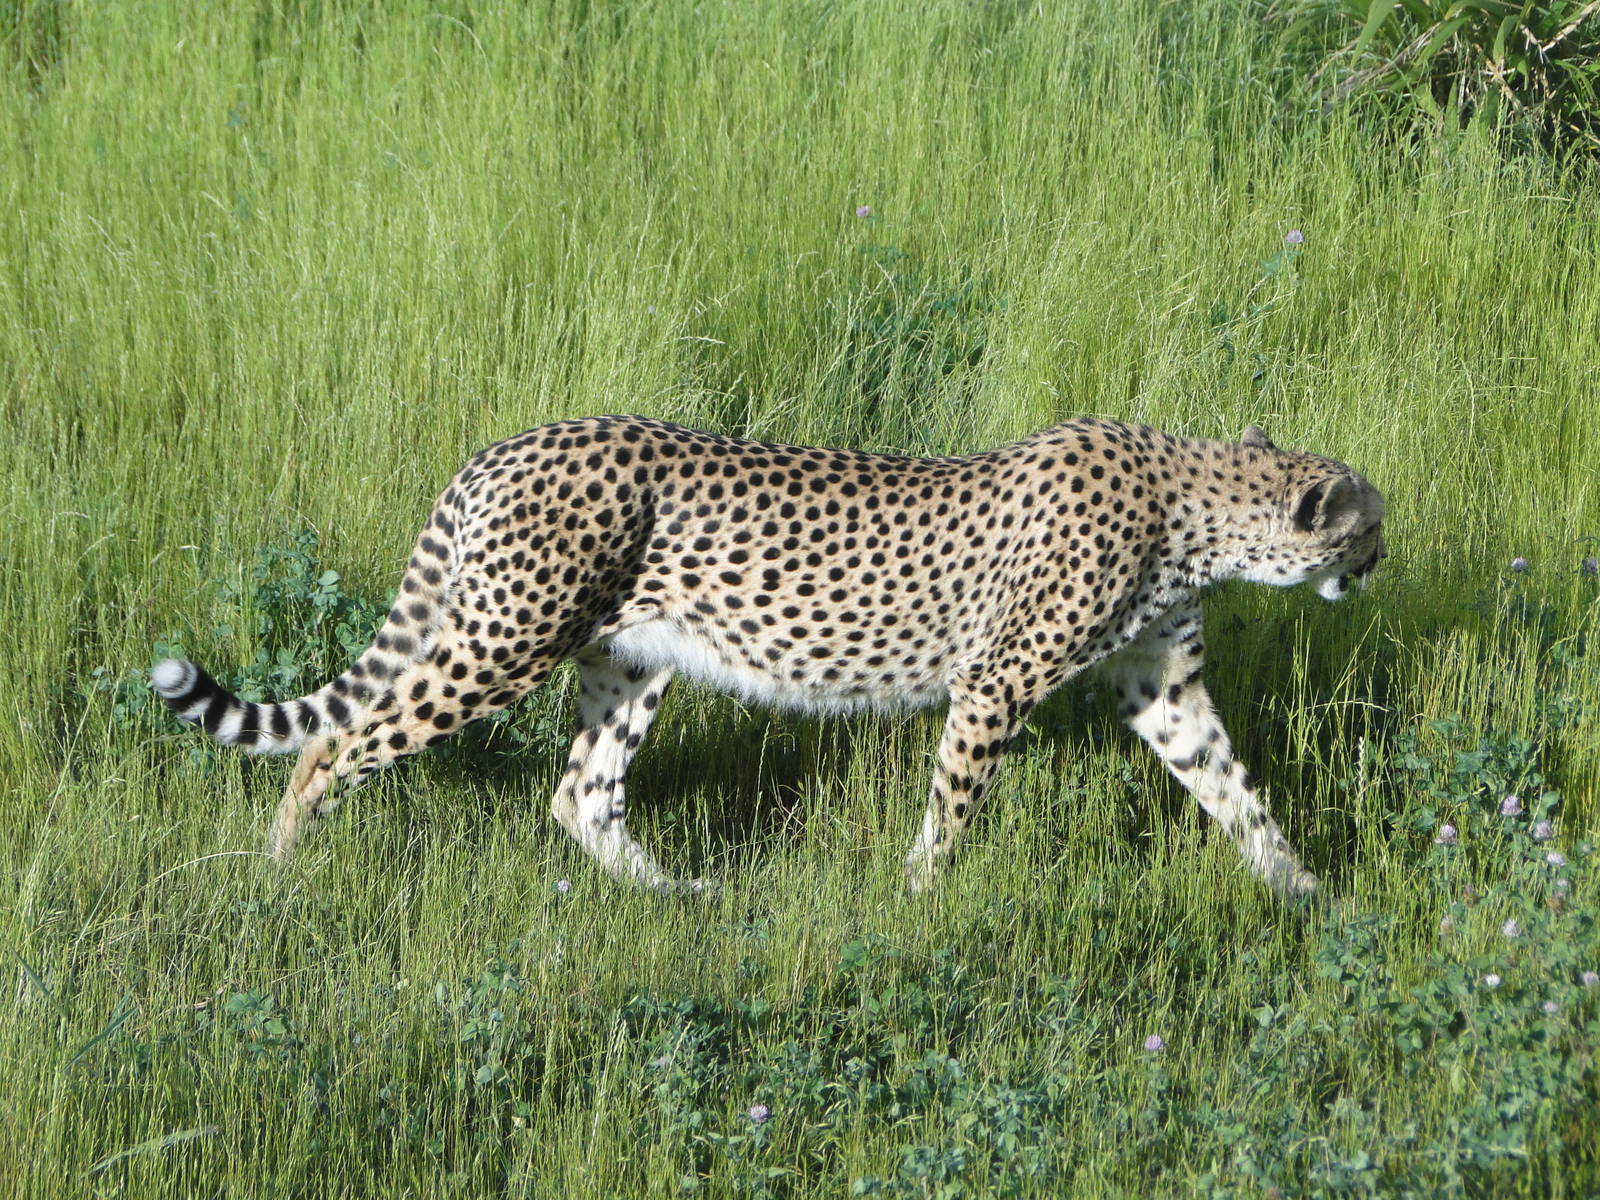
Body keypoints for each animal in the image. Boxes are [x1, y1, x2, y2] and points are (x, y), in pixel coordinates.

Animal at [153, 416, 1386, 897]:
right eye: (1366, 527)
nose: (1376, 566)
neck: (1196, 504)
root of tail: (507, 444)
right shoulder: (995, 682)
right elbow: (955, 807)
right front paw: (919, 897)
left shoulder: (1163, 686)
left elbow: (1233, 791)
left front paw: (1306, 893)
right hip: (501, 643)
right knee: (333, 750)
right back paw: (280, 875)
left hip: (628, 661)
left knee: (580, 793)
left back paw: (680, 899)